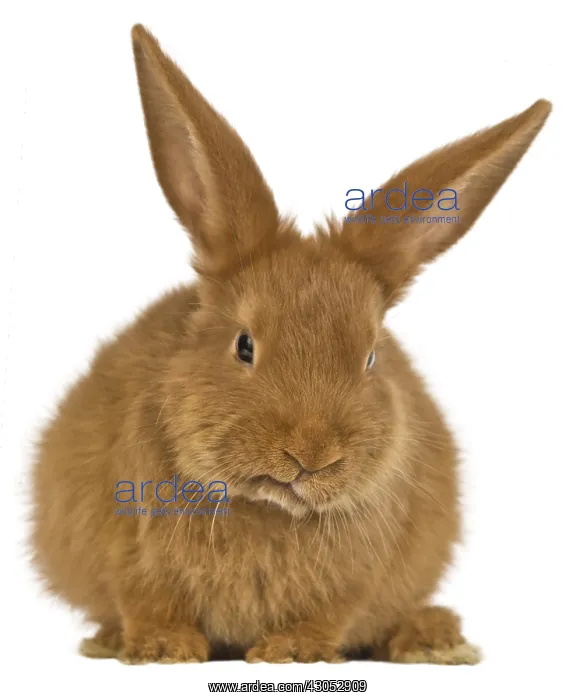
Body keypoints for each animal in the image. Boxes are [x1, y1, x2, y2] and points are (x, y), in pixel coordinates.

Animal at [30, 23, 551, 665]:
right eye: (243, 346)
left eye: (371, 356)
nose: (310, 455)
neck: (268, 508)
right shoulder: (125, 548)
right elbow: (146, 600)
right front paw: (162, 648)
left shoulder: (357, 582)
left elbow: (332, 615)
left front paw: (294, 652)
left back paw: (435, 638)